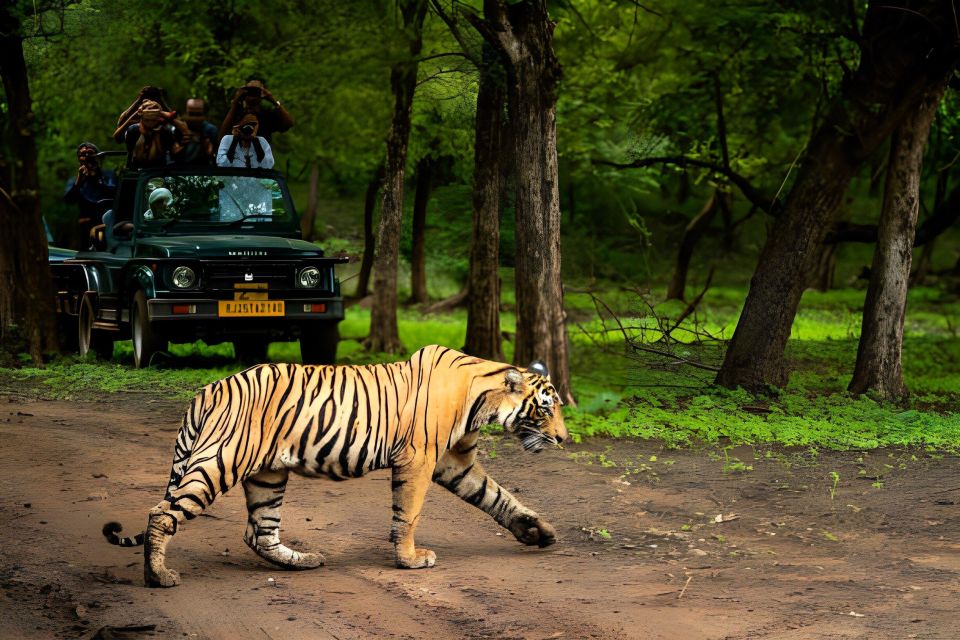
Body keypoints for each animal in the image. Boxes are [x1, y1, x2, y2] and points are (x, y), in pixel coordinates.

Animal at [102, 344, 567, 588]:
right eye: (546, 408)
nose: (563, 438)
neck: (482, 401)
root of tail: (208, 389)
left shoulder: (454, 463)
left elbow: (498, 497)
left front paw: (538, 532)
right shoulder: (419, 460)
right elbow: (410, 513)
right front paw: (410, 560)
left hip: (267, 474)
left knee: (259, 532)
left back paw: (302, 561)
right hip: (220, 461)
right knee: (162, 513)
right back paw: (159, 575)